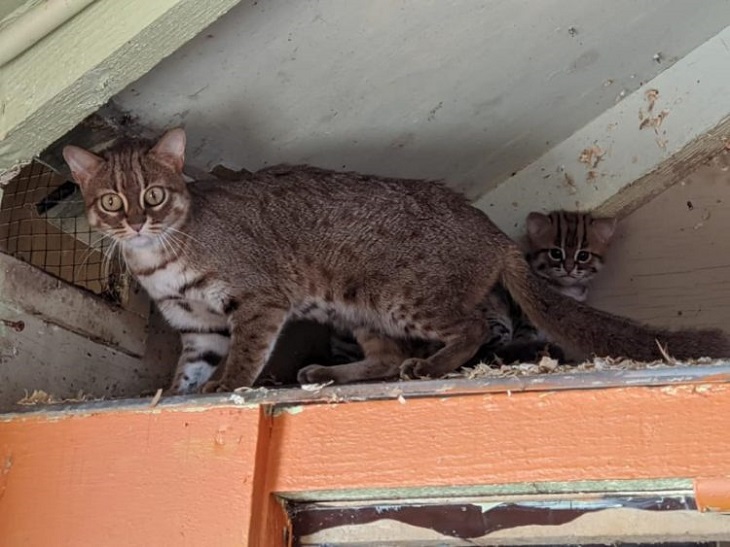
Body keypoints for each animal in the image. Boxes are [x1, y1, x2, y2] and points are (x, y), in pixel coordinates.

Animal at [62, 128, 728, 394]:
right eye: (111, 202)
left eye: (154, 195)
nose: (135, 223)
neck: (159, 255)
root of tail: (492, 230)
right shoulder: (196, 326)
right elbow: (188, 370)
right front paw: (173, 398)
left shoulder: (257, 301)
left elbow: (244, 357)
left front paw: (227, 389)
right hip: (354, 308)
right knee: (382, 359)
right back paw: (332, 373)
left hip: (398, 297)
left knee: (471, 327)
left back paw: (430, 365)